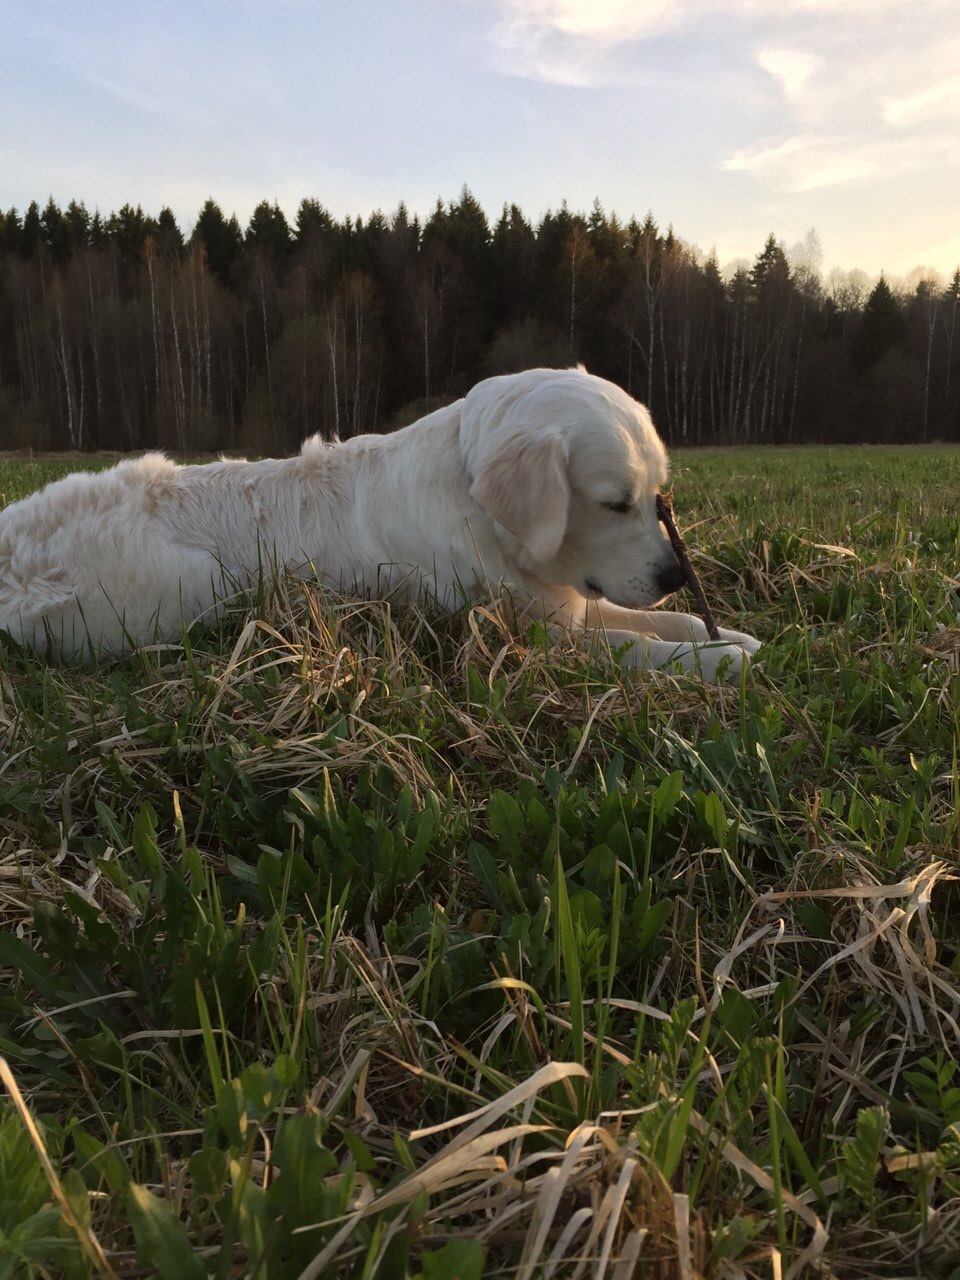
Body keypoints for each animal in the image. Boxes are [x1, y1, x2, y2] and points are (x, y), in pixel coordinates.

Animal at [0, 366, 762, 675]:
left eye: (657, 497)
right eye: (614, 503)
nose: (674, 575)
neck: (477, 508)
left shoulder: (557, 604)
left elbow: (661, 622)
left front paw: (729, 634)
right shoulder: (520, 637)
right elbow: (637, 646)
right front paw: (717, 661)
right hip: (192, 584)